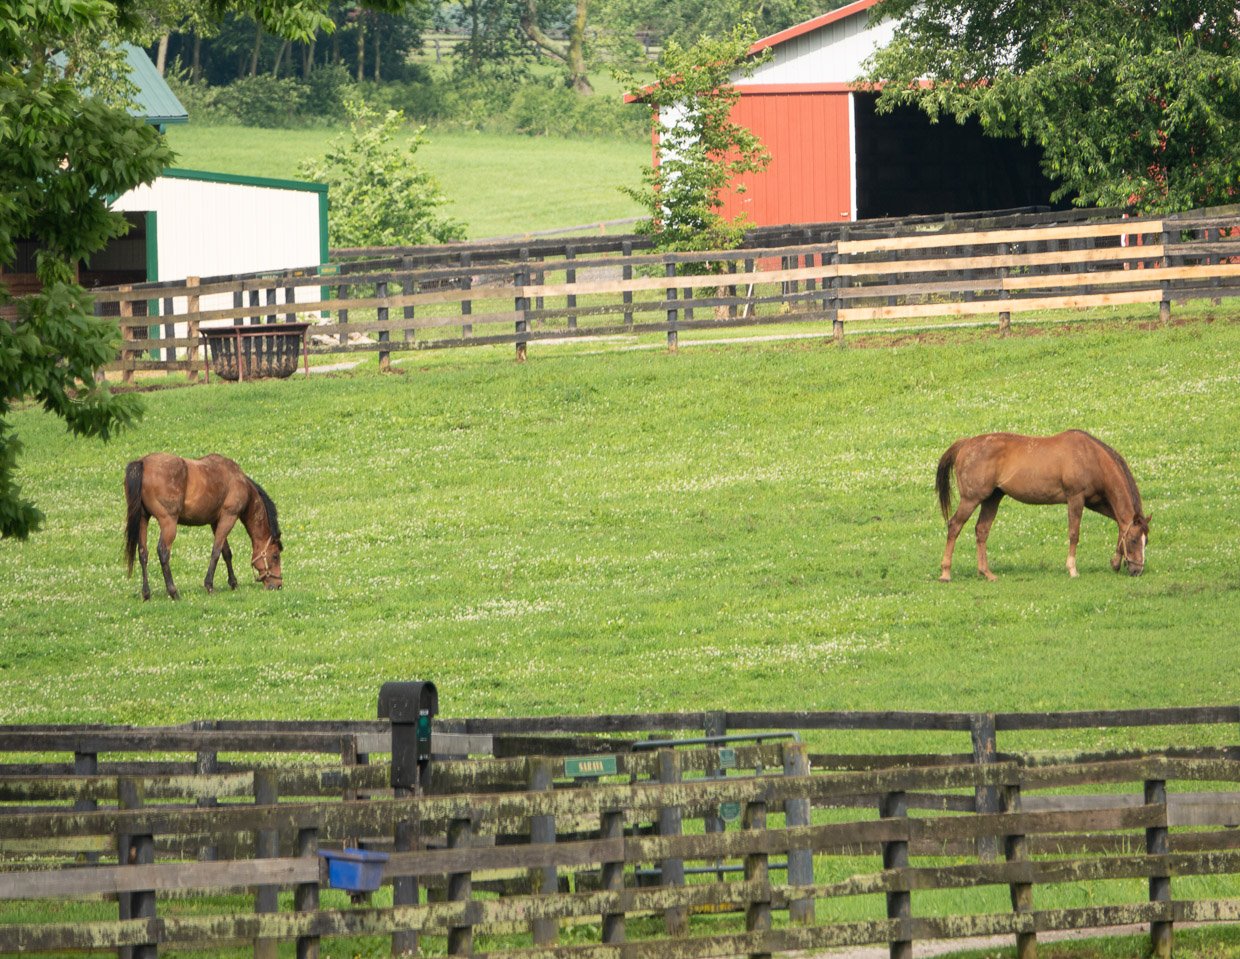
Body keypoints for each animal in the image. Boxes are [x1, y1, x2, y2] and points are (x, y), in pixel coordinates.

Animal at [122, 454, 283, 597]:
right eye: (275, 556)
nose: (278, 585)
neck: (238, 481)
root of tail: (143, 462)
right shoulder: (228, 517)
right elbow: (216, 552)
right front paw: (209, 585)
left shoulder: (215, 522)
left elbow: (226, 552)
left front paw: (233, 583)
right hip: (168, 522)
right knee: (163, 552)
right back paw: (173, 592)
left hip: (143, 520)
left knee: (143, 553)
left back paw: (146, 594)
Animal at [937, 429, 1150, 580]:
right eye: (1133, 541)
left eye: (1145, 541)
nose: (1138, 570)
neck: (1091, 457)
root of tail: (966, 444)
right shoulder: (1076, 498)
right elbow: (1074, 533)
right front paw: (1072, 569)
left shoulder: (1095, 502)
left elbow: (1120, 525)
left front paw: (1115, 562)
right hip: (971, 499)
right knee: (954, 526)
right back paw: (946, 573)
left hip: (992, 499)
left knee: (981, 530)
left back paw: (986, 573)